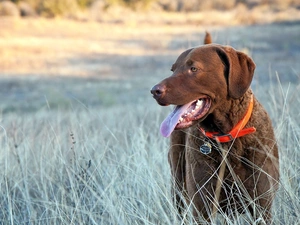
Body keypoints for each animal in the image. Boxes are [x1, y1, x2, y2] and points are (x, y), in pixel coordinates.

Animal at [151, 33, 280, 223]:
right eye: (173, 70)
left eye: (194, 69)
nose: (154, 91)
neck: (226, 136)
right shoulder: (202, 207)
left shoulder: (262, 206)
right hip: (178, 183)